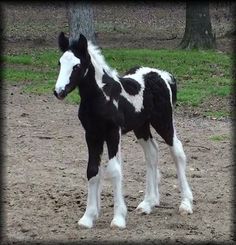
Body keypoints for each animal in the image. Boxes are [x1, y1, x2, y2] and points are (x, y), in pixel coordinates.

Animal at [54, 33, 194, 230]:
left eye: (77, 66)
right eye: (60, 63)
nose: (58, 91)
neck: (101, 96)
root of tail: (164, 76)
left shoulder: (113, 133)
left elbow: (114, 170)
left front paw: (118, 218)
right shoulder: (92, 134)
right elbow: (92, 170)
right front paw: (88, 217)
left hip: (163, 121)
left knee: (178, 152)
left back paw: (186, 204)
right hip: (141, 127)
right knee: (152, 153)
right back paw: (148, 203)